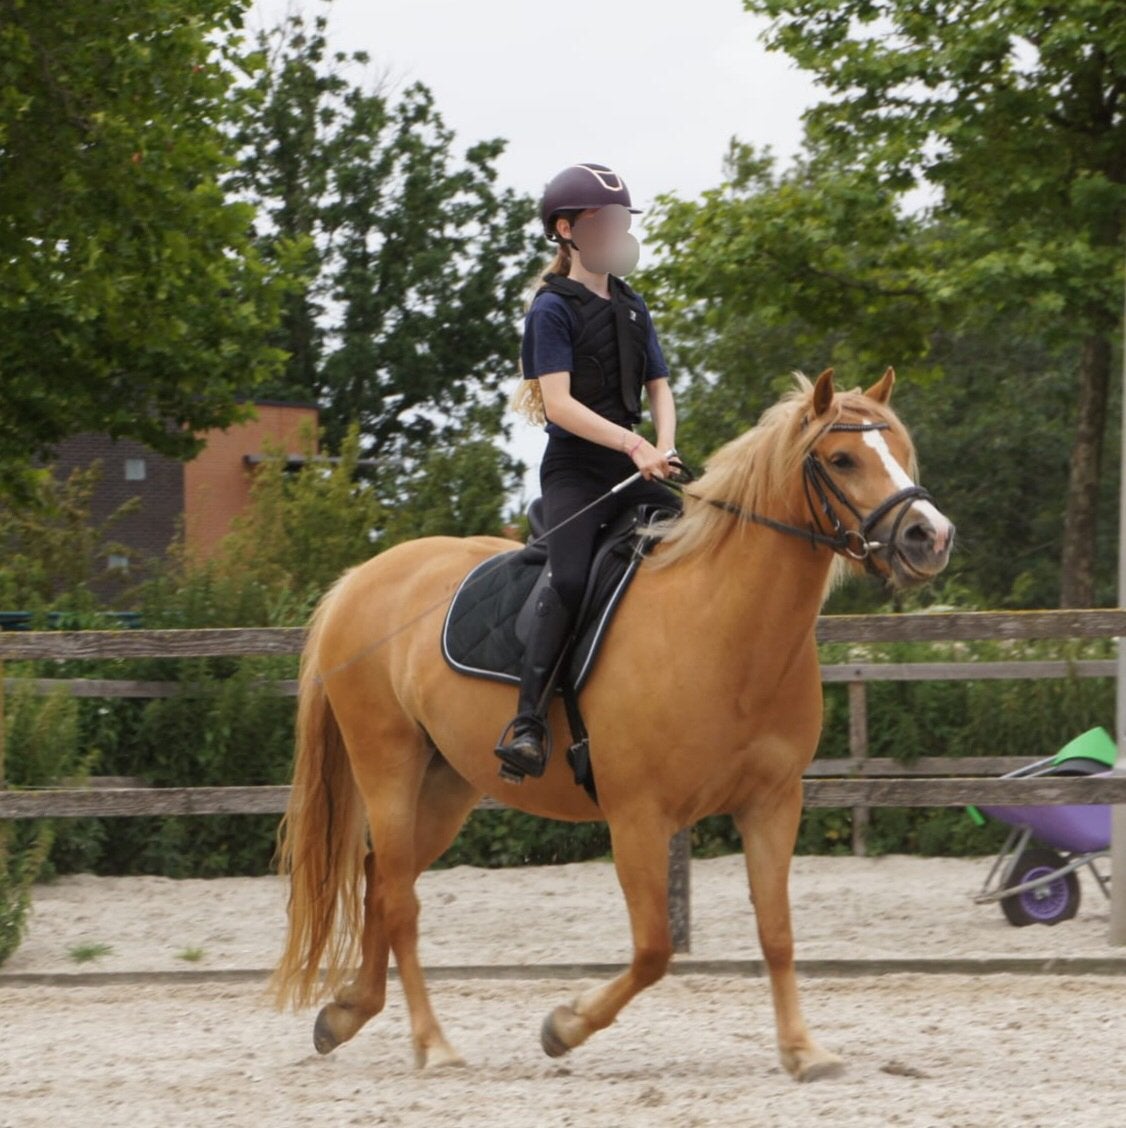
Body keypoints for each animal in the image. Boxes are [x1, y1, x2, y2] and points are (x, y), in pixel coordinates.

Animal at [271, 367, 954, 1081]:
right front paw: (565, 1026)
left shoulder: (772, 803)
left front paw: (803, 1051)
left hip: (447, 783)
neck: (723, 624)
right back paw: (432, 1044)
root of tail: (360, 580)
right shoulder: (639, 818)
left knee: (383, 879)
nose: (930, 537)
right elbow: (654, 949)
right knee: (400, 899)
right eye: (842, 458)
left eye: (898, 450)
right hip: (389, 768)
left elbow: (776, 931)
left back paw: (347, 1014)